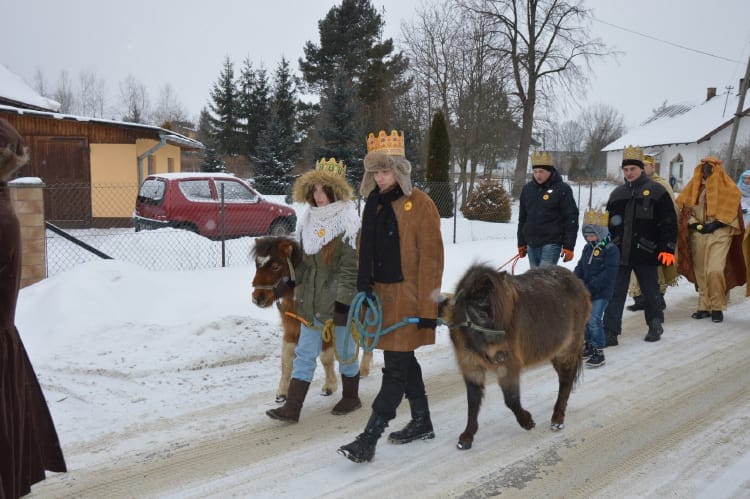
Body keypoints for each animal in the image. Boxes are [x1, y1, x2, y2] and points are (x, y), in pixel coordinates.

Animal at [446, 266, 592, 454]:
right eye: (481, 313)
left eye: (504, 313)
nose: (501, 354)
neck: (475, 343)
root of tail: (576, 281)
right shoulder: (471, 368)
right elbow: (472, 402)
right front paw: (466, 437)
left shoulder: (508, 367)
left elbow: (511, 399)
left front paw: (527, 421)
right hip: (554, 351)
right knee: (565, 378)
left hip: (567, 348)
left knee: (566, 381)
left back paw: (557, 419)